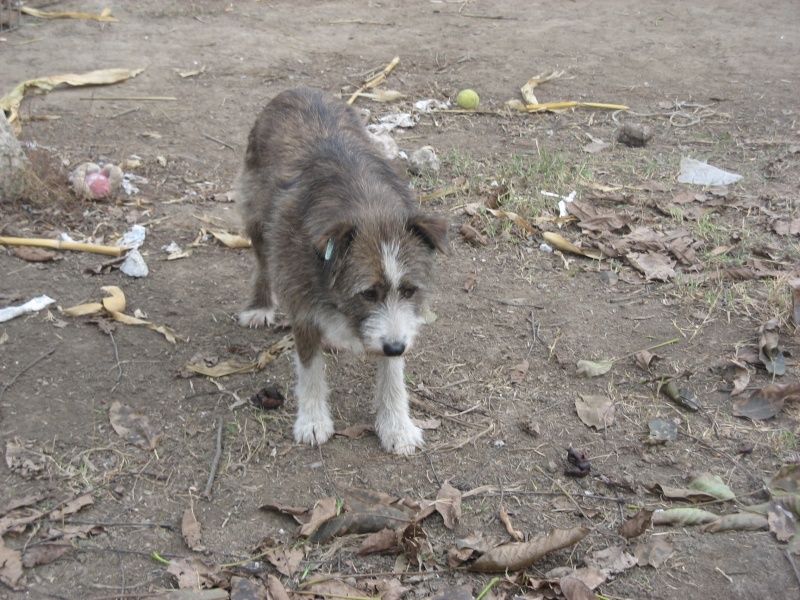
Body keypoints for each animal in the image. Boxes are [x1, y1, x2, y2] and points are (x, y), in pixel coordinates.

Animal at [238, 88, 450, 454]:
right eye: (368, 294)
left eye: (409, 290)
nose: (396, 348)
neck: (366, 205)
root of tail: (296, 89)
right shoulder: (303, 306)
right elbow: (310, 370)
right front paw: (312, 420)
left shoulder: (395, 329)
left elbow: (393, 374)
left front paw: (396, 426)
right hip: (256, 218)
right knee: (263, 264)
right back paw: (260, 305)